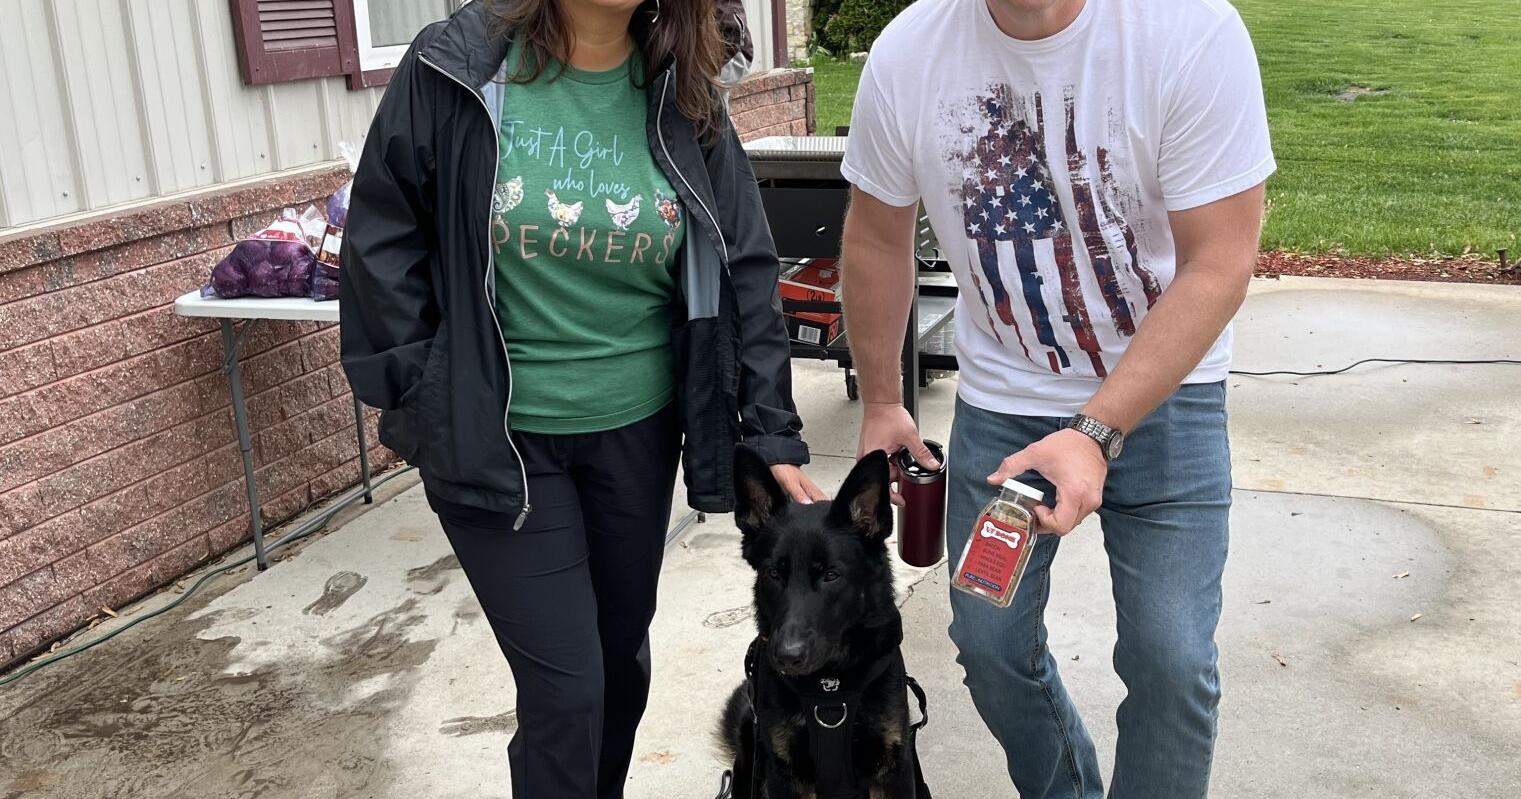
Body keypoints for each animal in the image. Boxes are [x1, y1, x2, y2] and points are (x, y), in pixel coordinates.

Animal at [711, 444, 924, 797]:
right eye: (774, 574)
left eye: (831, 575)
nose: (787, 657)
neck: (830, 687)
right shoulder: (783, 776)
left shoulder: (894, 771)